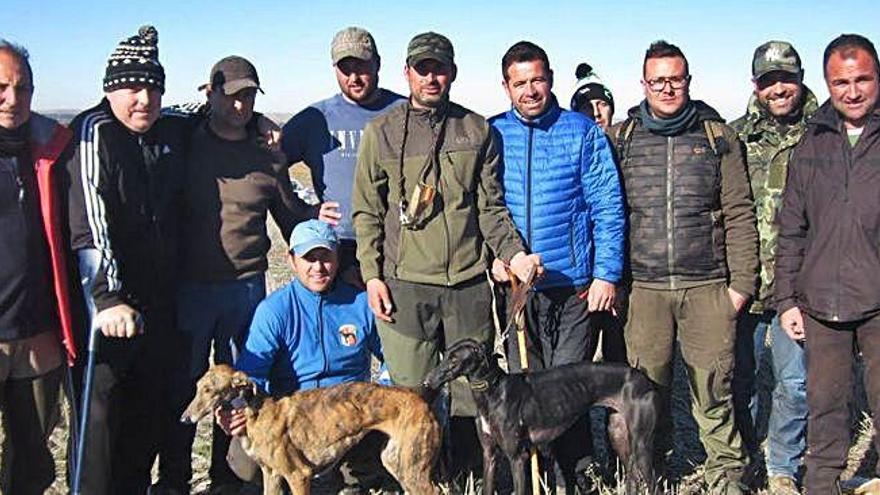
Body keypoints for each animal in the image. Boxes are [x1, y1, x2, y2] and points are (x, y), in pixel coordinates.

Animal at [180, 364, 440, 495]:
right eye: (197, 387)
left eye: (210, 390)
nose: (184, 419)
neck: (256, 413)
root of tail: (422, 397)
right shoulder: (272, 475)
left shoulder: (299, 475)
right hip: (396, 462)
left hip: (412, 469)